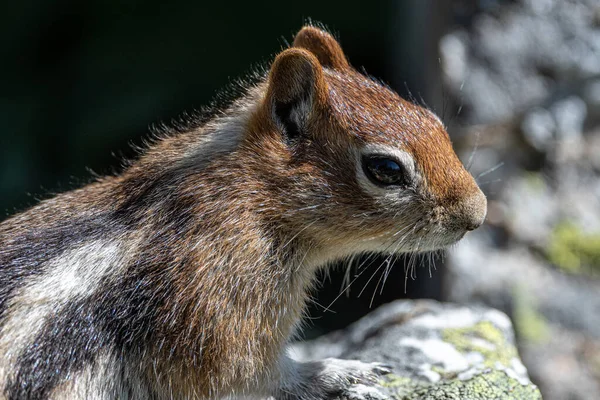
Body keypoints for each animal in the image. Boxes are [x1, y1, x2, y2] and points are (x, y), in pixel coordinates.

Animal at [0, 25, 488, 400]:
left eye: (433, 121)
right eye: (385, 169)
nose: (477, 215)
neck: (247, 195)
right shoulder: (219, 311)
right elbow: (252, 375)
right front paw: (335, 370)